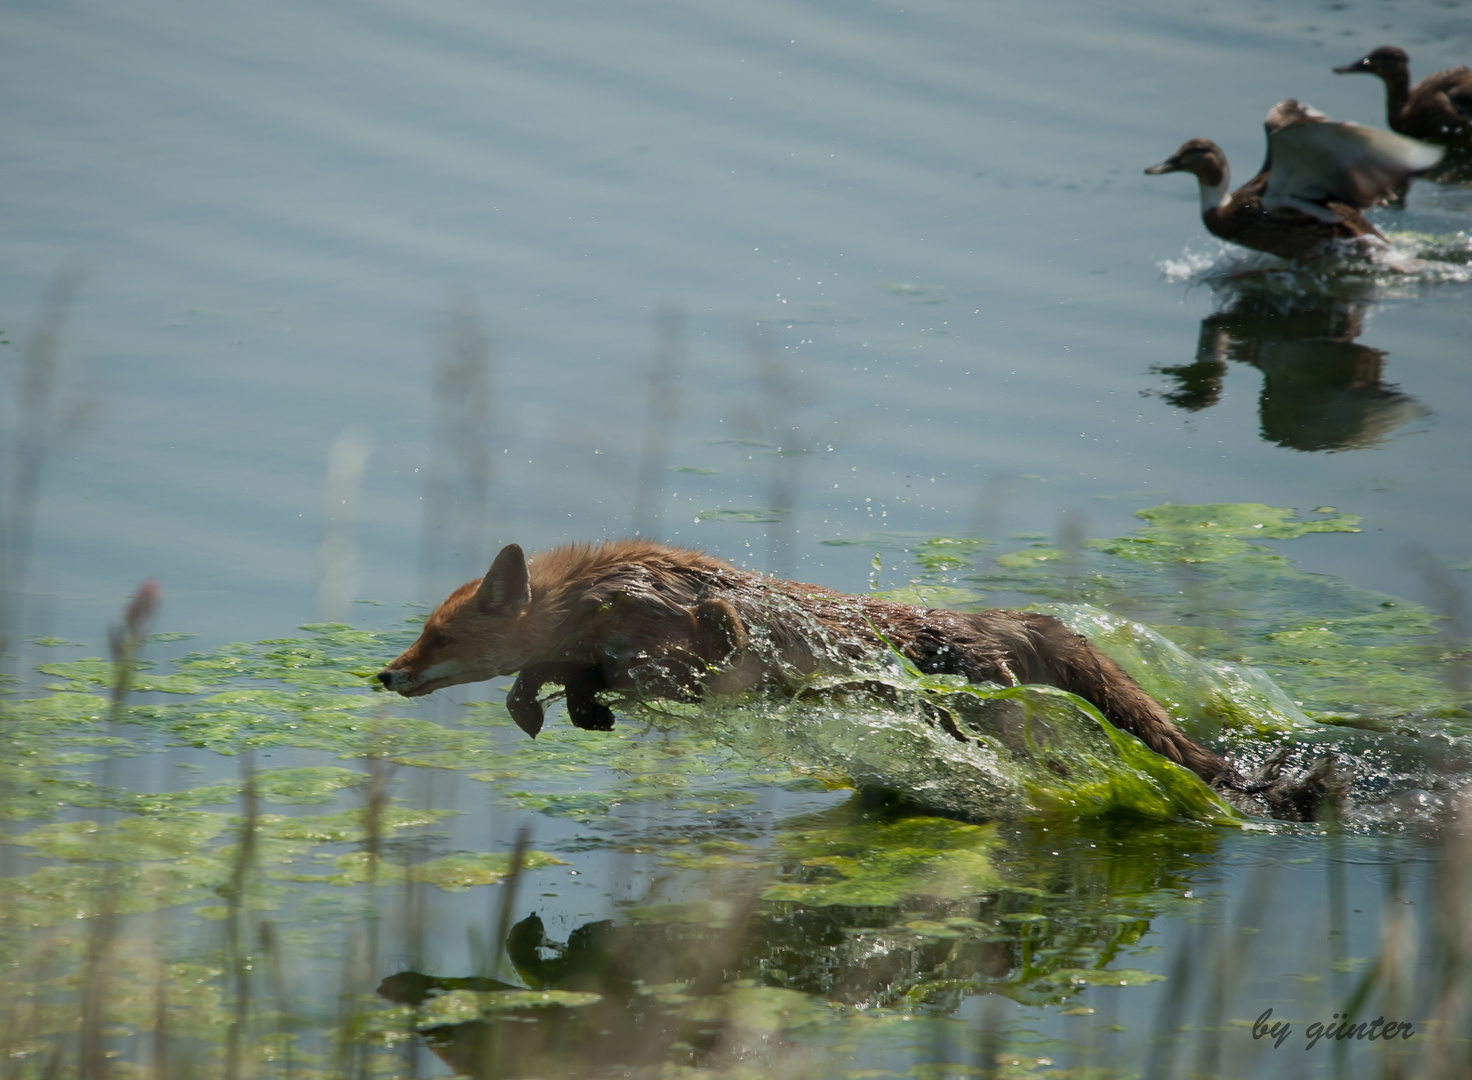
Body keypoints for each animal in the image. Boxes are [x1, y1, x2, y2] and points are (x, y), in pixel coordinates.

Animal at [373, 541, 1330, 818]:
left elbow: (563, 668)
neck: (608, 592)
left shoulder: (680, 651)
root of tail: (1009, 620)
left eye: (438, 634)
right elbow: (558, 676)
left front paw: (547, 706)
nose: (384, 674)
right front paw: (562, 712)